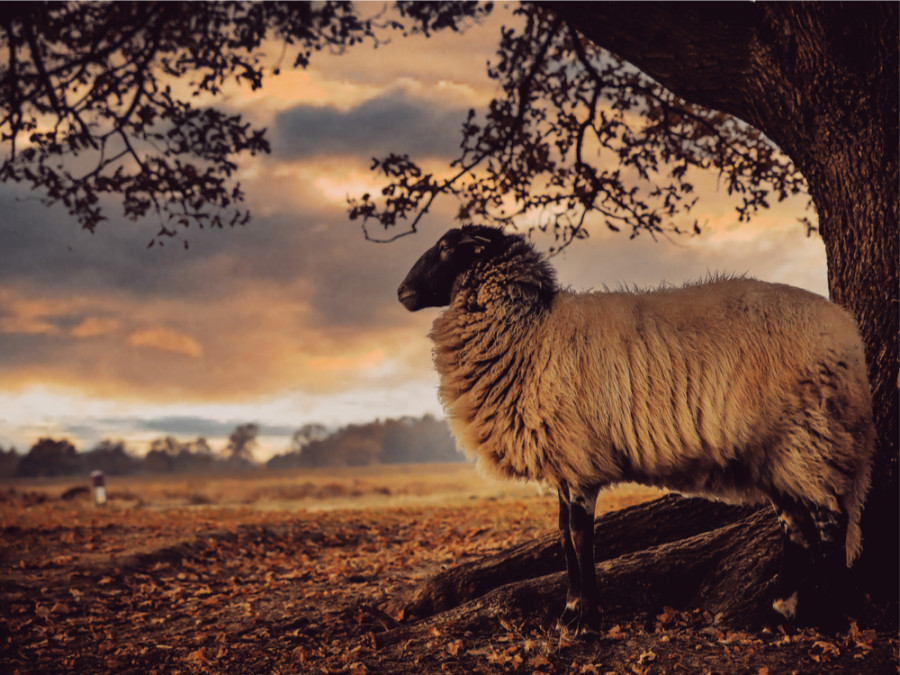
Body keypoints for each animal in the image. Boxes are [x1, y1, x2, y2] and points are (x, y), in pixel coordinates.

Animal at [398, 224, 876, 636]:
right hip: (779, 455)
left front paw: (584, 623)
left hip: (812, 438)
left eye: (447, 247)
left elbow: (579, 537)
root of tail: (848, 332)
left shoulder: (579, 460)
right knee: (798, 531)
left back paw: (830, 618)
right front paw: (570, 615)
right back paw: (779, 616)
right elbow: (563, 536)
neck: (532, 328)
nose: (401, 293)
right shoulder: (565, 461)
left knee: (832, 527)